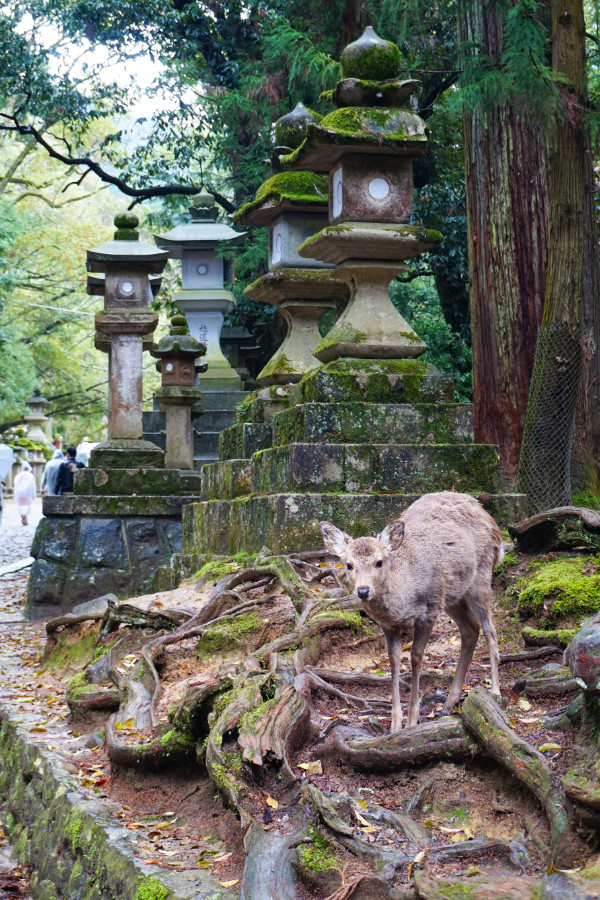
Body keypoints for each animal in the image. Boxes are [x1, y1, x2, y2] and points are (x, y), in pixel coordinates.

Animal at [320, 491, 503, 732]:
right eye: (348, 565)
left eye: (379, 562)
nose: (363, 590)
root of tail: (490, 519)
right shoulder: (389, 624)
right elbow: (394, 659)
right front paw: (395, 724)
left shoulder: (430, 609)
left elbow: (416, 656)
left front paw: (412, 720)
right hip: (452, 595)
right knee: (470, 629)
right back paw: (448, 703)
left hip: (481, 574)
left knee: (489, 629)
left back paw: (495, 693)